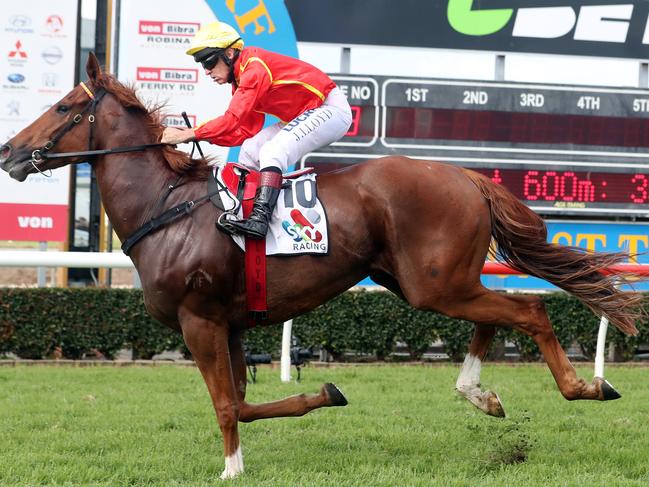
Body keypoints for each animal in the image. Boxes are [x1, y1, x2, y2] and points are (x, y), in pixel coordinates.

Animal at [0, 54, 644, 480]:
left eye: (63, 106)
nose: (9, 151)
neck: (166, 206)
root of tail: (465, 175)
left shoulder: (199, 320)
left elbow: (228, 404)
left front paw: (235, 466)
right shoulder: (230, 324)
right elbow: (243, 401)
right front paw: (315, 401)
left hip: (432, 284)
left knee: (528, 308)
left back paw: (584, 385)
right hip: (431, 281)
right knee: (497, 313)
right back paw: (479, 394)